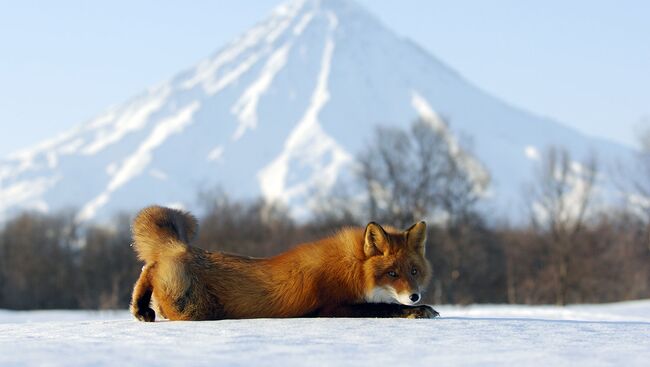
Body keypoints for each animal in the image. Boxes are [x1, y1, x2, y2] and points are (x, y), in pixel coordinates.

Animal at [129, 206, 438, 320]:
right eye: (391, 273)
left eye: (413, 271)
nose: (415, 295)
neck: (351, 267)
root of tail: (182, 248)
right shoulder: (331, 307)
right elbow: (384, 307)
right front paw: (417, 310)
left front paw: (419, 307)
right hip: (192, 307)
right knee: (151, 269)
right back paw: (142, 307)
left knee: (148, 267)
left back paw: (140, 308)